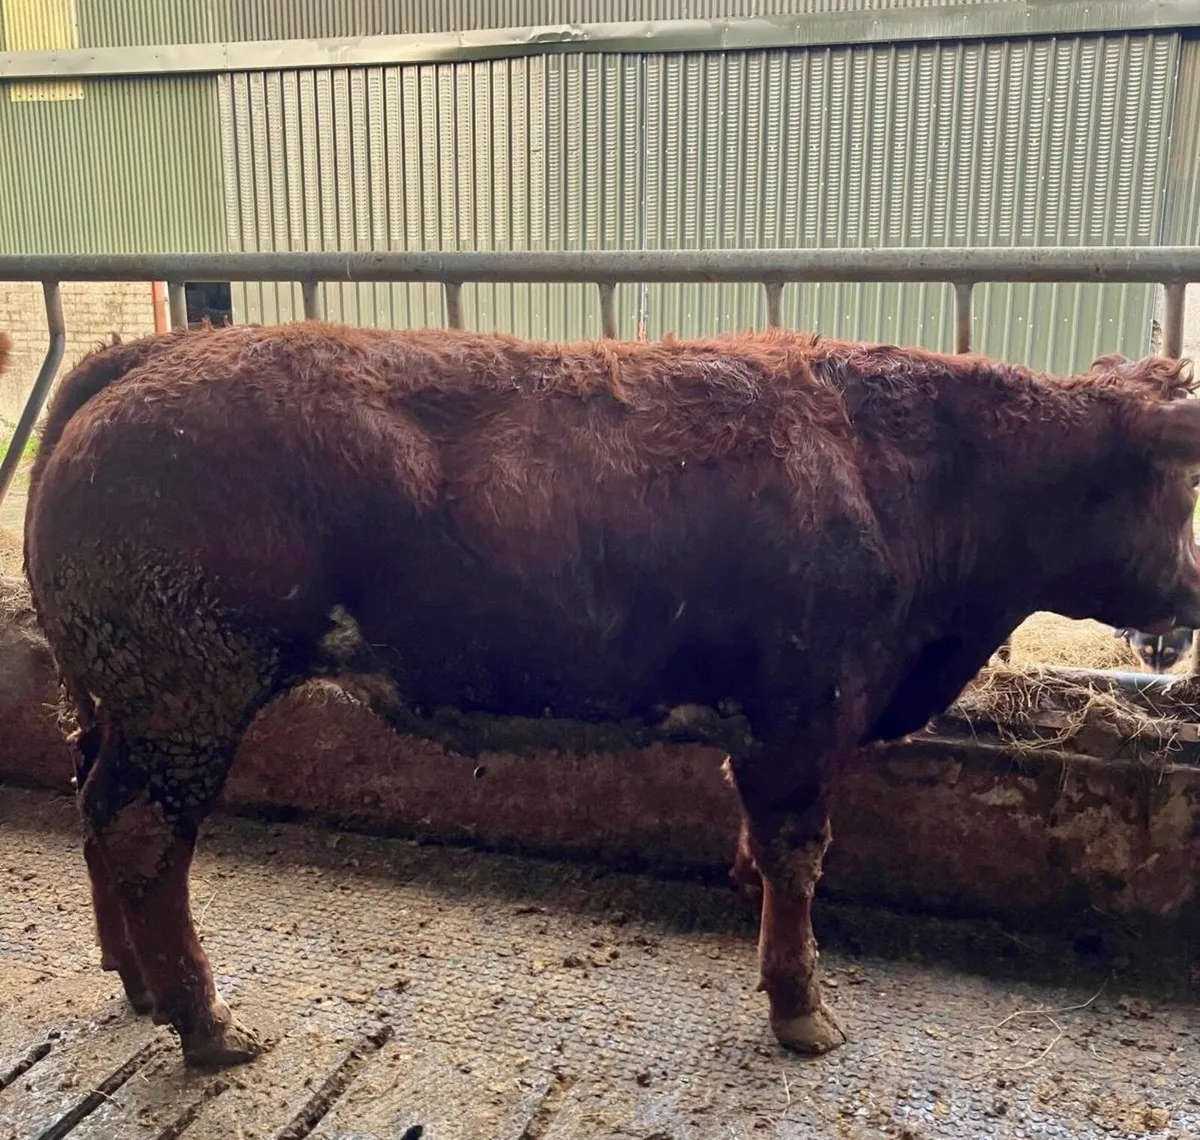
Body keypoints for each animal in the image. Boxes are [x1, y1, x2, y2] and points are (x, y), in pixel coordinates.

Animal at [21, 322, 1200, 1069]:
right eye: (1180, 488)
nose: (1190, 593)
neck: (893, 465)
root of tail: (149, 356)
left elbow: (761, 850)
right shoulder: (802, 718)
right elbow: (798, 857)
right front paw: (801, 1010)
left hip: (125, 704)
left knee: (95, 810)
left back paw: (133, 983)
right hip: (187, 702)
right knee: (145, 842)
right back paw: (207, 1024)